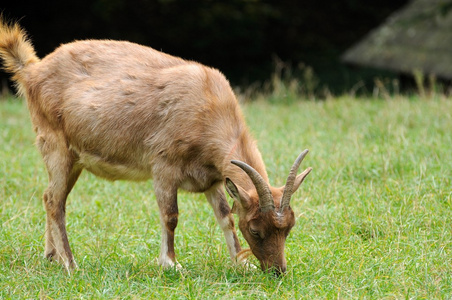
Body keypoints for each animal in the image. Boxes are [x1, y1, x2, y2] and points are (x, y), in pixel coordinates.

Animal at [0, 20, 310, 274]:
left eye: (289, 227)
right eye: (256, 230)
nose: (277, 270)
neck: (209, 107)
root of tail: (33, 71)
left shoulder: (212, 179)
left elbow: (225, 217)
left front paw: (240, 262)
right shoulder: (163, 166)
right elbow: (170, 216)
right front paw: (171, 263)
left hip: (73, 158)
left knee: (49, 196)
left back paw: (51, 256)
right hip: (56, 147)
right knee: (55, 201)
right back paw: (70, 263)